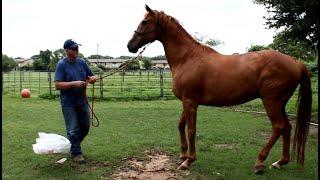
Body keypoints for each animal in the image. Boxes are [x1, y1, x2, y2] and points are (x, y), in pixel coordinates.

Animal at [126, 4, 312, 173]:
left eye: (144, 22)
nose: (130, 45)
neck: (187, 58)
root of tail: (295, 61)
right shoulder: (187, 102)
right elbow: (180, 125)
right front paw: (182, 155)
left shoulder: (190, 102)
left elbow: (191, 130)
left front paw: (188, 161)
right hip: (281, 103)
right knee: (287, 127)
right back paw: (280, 162)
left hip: (271, 101)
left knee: (278, 127)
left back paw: (260, 162)